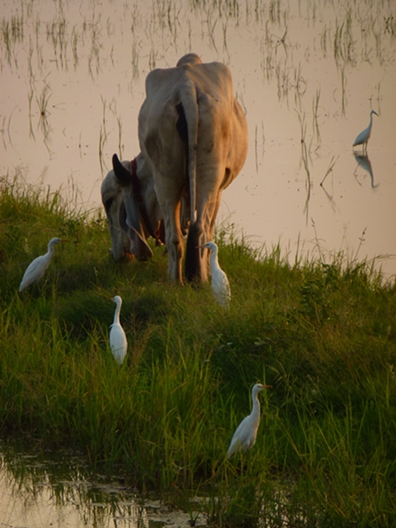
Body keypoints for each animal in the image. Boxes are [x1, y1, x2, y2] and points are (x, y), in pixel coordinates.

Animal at [106, 52, 248, 284]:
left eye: (109, 201)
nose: (116, 255)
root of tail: (187, 86)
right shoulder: (217, 190)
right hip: (202, 176)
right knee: (196, 230)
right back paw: (187, 281)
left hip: (169, 177)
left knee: (181, 235)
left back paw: (181, 281)